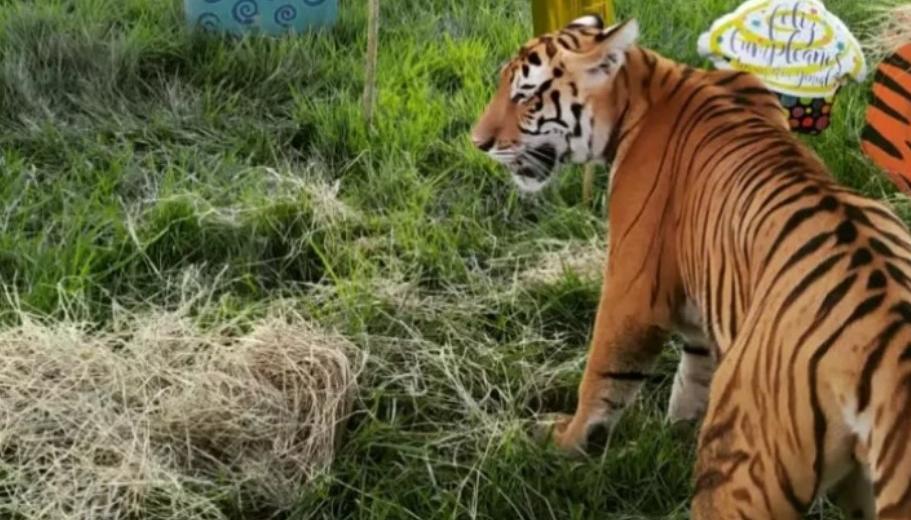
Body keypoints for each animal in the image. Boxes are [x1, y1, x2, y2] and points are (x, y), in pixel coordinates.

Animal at [471, 15, 911, 519]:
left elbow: (603, 376)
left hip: (744, 464)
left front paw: (565, 440)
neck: (644, 85)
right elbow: (692, 376)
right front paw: (673, 436)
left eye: (526, 96)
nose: (478, 143)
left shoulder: (632, 289)